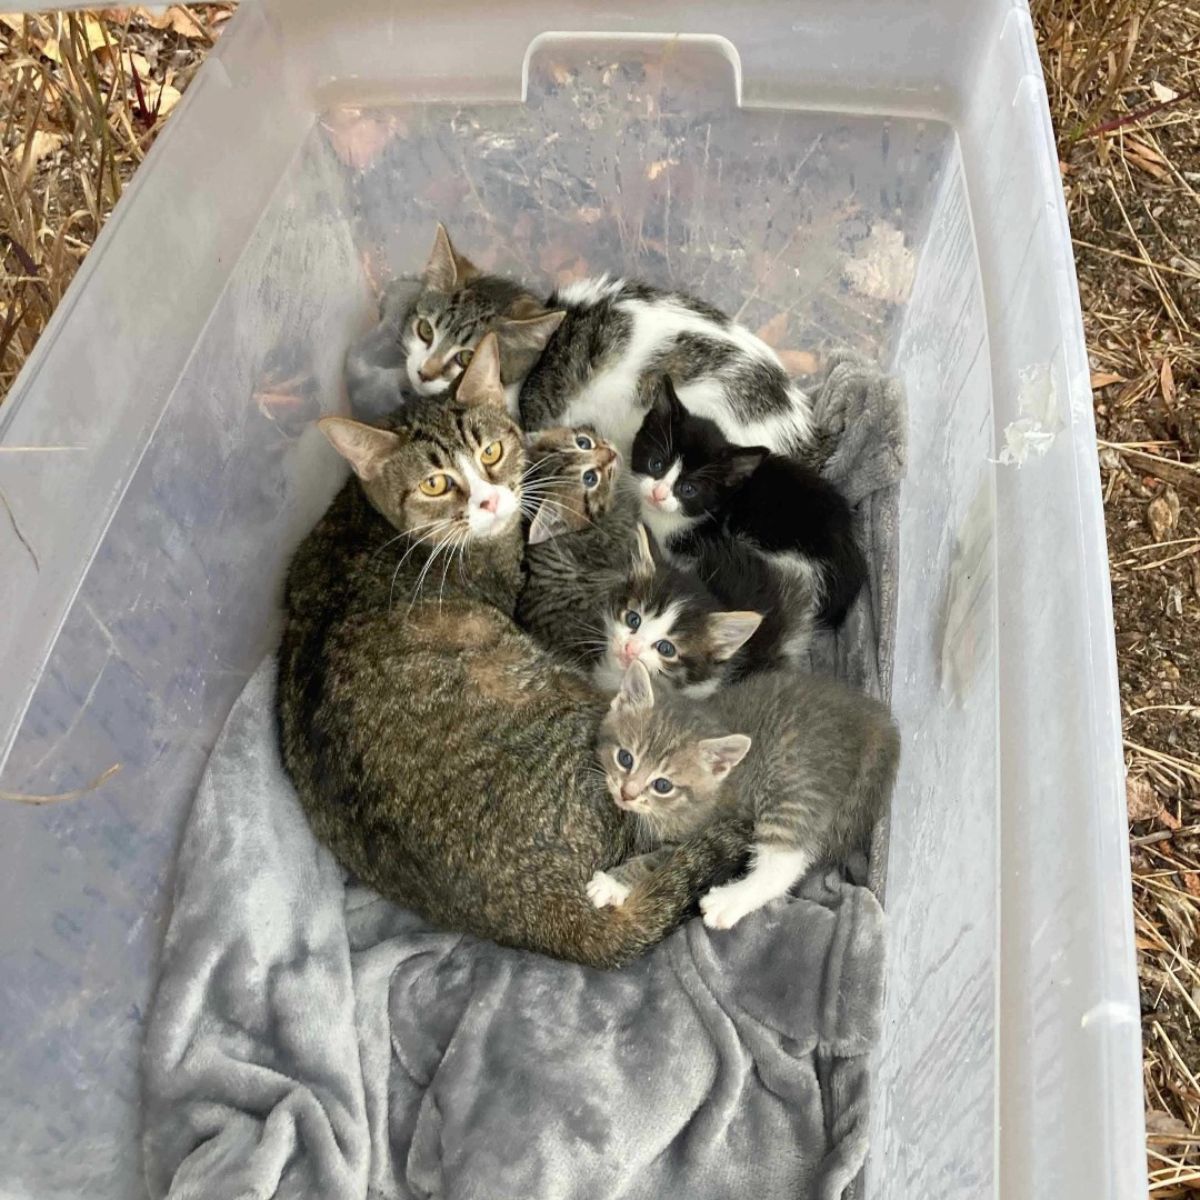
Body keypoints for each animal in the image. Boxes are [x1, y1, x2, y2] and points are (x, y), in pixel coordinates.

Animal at [590, 667, 902, 926]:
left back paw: (727, 902)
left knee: (785, 860)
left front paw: (612, 883)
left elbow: (657, 861)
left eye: (663, 785)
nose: (626, 793)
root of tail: (873, 720)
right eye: (625, 758)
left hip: (791, 780)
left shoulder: (700, 831)